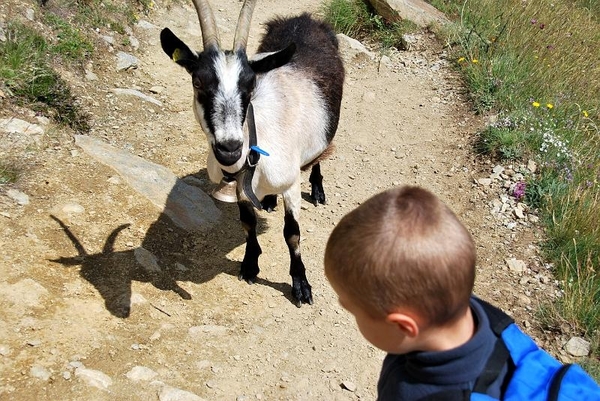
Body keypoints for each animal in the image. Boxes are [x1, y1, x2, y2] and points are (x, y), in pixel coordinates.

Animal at [159, 0, 344, 304]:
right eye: (197, 82)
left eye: (250, 84)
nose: (229, 148)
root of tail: (304, 19)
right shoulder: (238, 186)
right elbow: (247, 223)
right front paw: (249, 265)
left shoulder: (290, 183)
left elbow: (292, 234)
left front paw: (301, 285)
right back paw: (268, 200)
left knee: (319, 156)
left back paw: (318, 190)